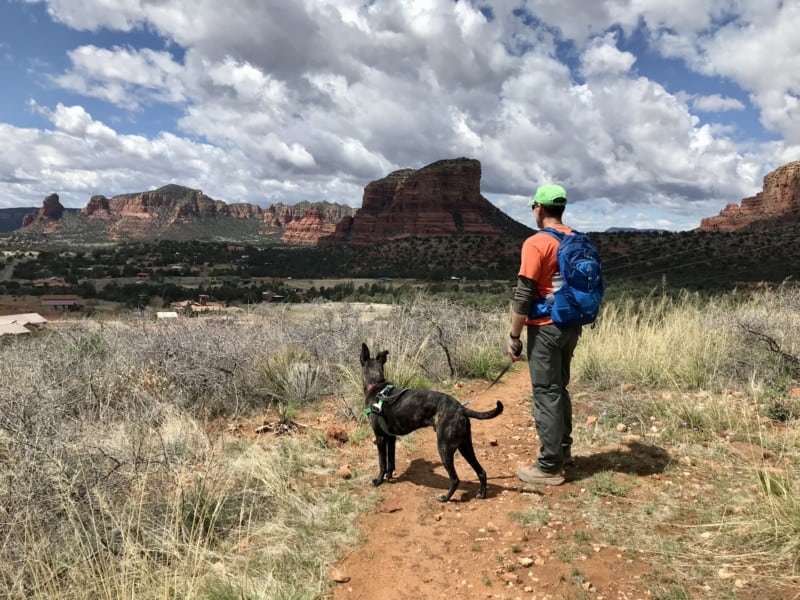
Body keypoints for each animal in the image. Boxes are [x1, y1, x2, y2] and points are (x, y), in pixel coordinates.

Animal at [360, 342, 504, 502]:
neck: (376, 386)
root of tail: (460, 408)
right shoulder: (391, 438)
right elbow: (390, 461)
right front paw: (390, 477)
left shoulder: (379, 437)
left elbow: (382, 463)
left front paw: (379, 480)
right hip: (465, 446)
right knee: (481, 471)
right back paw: (482, 494)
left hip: (444, 448)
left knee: (455, 479)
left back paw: (446, 497)